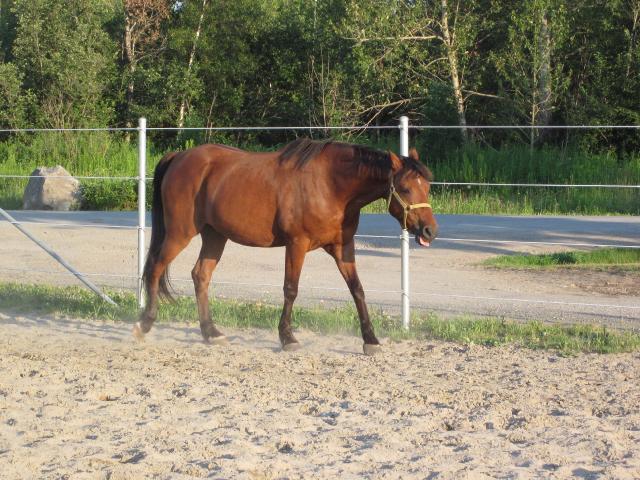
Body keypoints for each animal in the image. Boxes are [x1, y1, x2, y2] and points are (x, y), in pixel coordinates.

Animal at [132, 138, 438, 355]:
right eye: (406, 188)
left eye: (427, 187)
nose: (430, 231)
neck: (331, 185)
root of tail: (179, 157)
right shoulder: (296, 244)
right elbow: (291, 289)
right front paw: (287, 337)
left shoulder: (343, 247)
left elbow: (357, 290)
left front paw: (370, 340)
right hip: (180, 233)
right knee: (156, 268)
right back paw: (144, 324)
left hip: (215, 236)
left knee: (200, 275)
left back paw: (211, 332)